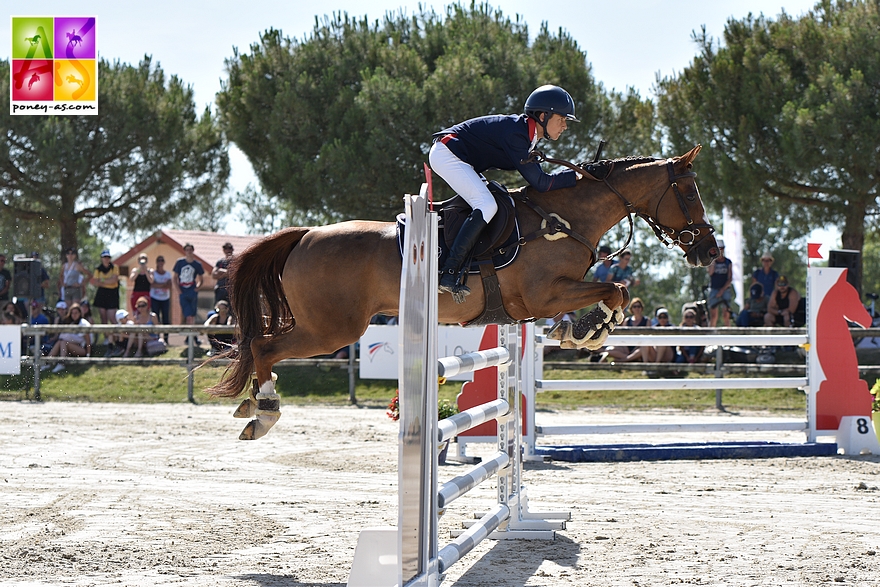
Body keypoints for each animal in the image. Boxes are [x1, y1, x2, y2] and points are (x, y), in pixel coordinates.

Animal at [210, 145, 720, 438]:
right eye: (690, 192)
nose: (711, 251)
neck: (562, 220)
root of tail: (306, 235)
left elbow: (617, 290)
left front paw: (588, 330)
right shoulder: (543, 296)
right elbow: (614, 288)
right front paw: (585, 331)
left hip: (324, 325)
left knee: (260, 345)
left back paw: (254, 405)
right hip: (331, 329)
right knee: (263, 345)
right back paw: (265, 411)